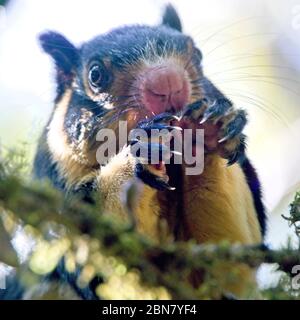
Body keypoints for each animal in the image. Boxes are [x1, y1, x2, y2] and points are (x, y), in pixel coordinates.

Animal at [32, 3, 266, 298]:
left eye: (198, 55)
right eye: (95, 75)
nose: (168, 82)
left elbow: (229, 265)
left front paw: (207, 130)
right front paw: (141, 150)